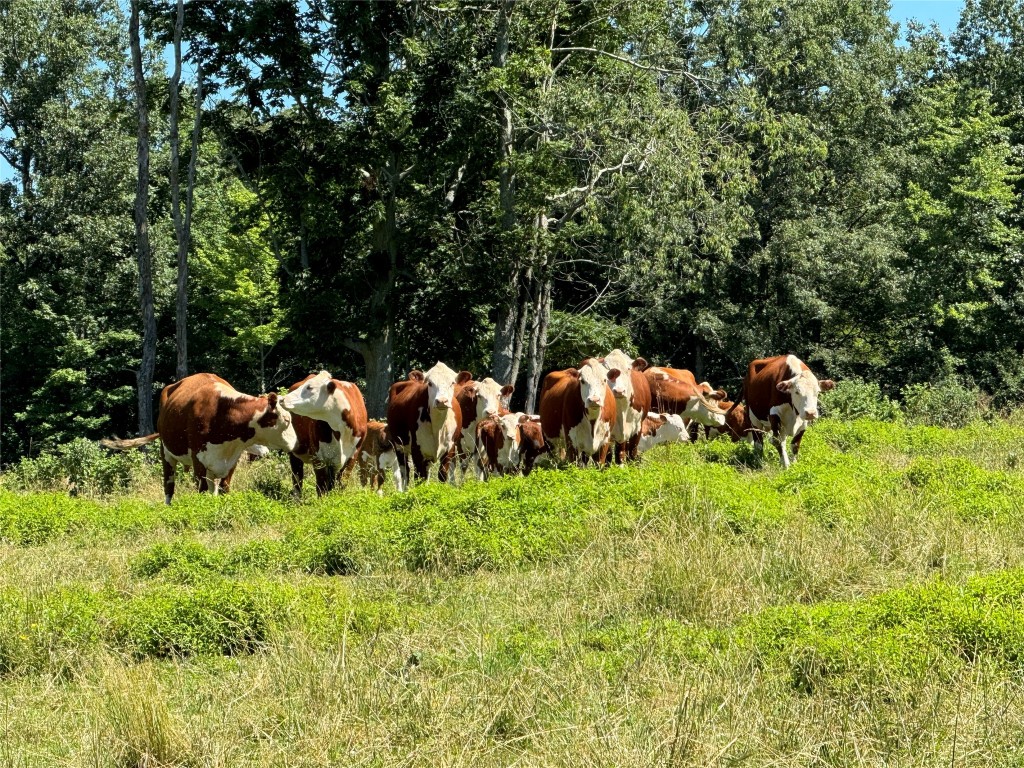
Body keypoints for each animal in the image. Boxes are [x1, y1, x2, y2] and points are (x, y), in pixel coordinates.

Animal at [101, 372, 299, 505]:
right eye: (287, 420)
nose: (296, 443)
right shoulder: (199, 460)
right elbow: (202, 491)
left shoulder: (231, 461)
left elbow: (224, 488)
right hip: (166, 452)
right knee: (169, 485)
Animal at [385, 362, 464, 493]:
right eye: (430, 383)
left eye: (452, 383)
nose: (442, 401)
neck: (438, 426)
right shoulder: (417, 450)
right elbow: (418, 477)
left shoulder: (450, 449)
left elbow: (442, 475)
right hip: (399, 446)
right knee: (405, 471)